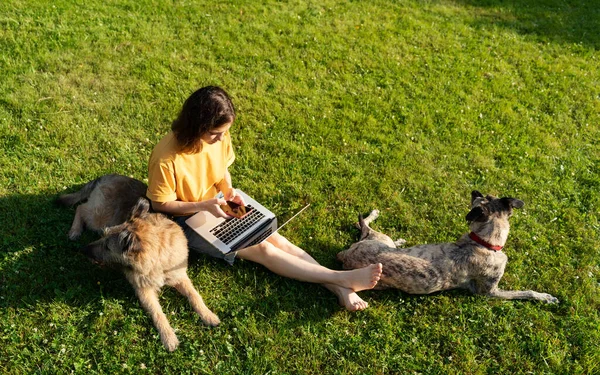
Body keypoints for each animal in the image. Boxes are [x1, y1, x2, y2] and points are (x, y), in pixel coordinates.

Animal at [56, 176, 218, 352]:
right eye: (103, 236)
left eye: (107, 246)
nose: (83, 250)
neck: (158, 262)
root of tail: (109, 175)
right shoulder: (144, 291)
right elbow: (158, 313)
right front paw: (168, 336)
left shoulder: (180, 277)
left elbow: (194, 296)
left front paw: (208, 315)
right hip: (98, 216)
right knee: (81, 208)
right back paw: (75, 230)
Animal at [338, 191, 556, 306]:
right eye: (480, 198)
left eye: (487, 195)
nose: (474, 191)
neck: (484, 243)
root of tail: (346, 254)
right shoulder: (489, 292)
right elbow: (525, 292)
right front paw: (545, 297)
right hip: (379, 239)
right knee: (364, 225)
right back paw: (376, 216)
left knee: (363, 228)